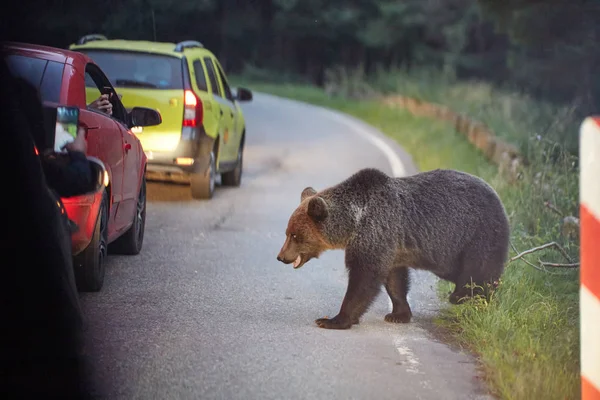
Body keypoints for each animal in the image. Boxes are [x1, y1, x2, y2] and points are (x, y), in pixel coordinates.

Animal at [278, 167, 510, 330]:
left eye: (295, 235)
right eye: (287, 232)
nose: (281, 257)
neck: (353, 222)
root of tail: (500, 198)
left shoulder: (375, 232)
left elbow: (364, 279)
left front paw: (333, 320)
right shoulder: (391, 246)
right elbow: (394, 279)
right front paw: (398, 314)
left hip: (476, 235)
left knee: (477, 271)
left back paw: (463, 296)